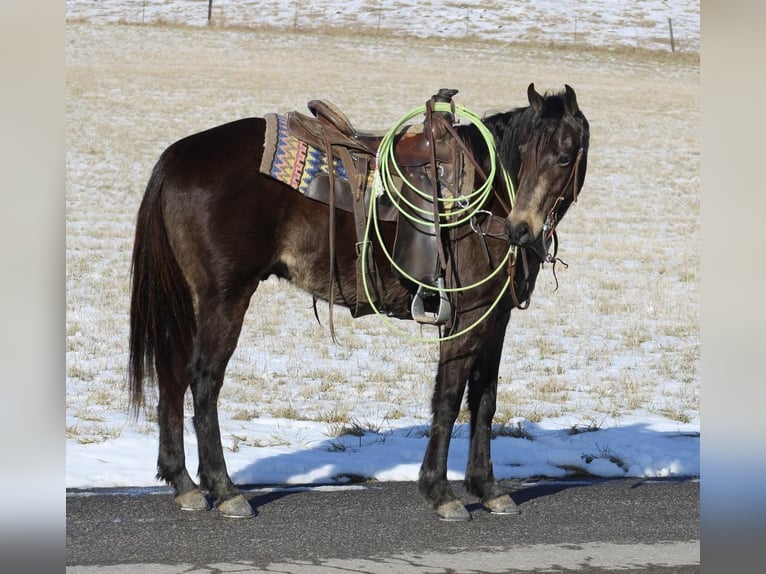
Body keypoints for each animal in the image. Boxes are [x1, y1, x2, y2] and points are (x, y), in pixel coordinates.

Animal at [129, 84, 592, 520]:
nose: (521, 229)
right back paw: (224, 490)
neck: (489, 191)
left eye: (564, 157)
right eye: (527, 154)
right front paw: (440, 492)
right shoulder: (468, 314)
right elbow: (448, 396)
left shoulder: (496, 317)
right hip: (224, 298)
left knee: (172, 374)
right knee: (204, 379)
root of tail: (178, 156)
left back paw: (183, 482)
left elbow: (485, 398)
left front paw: (488, 488)